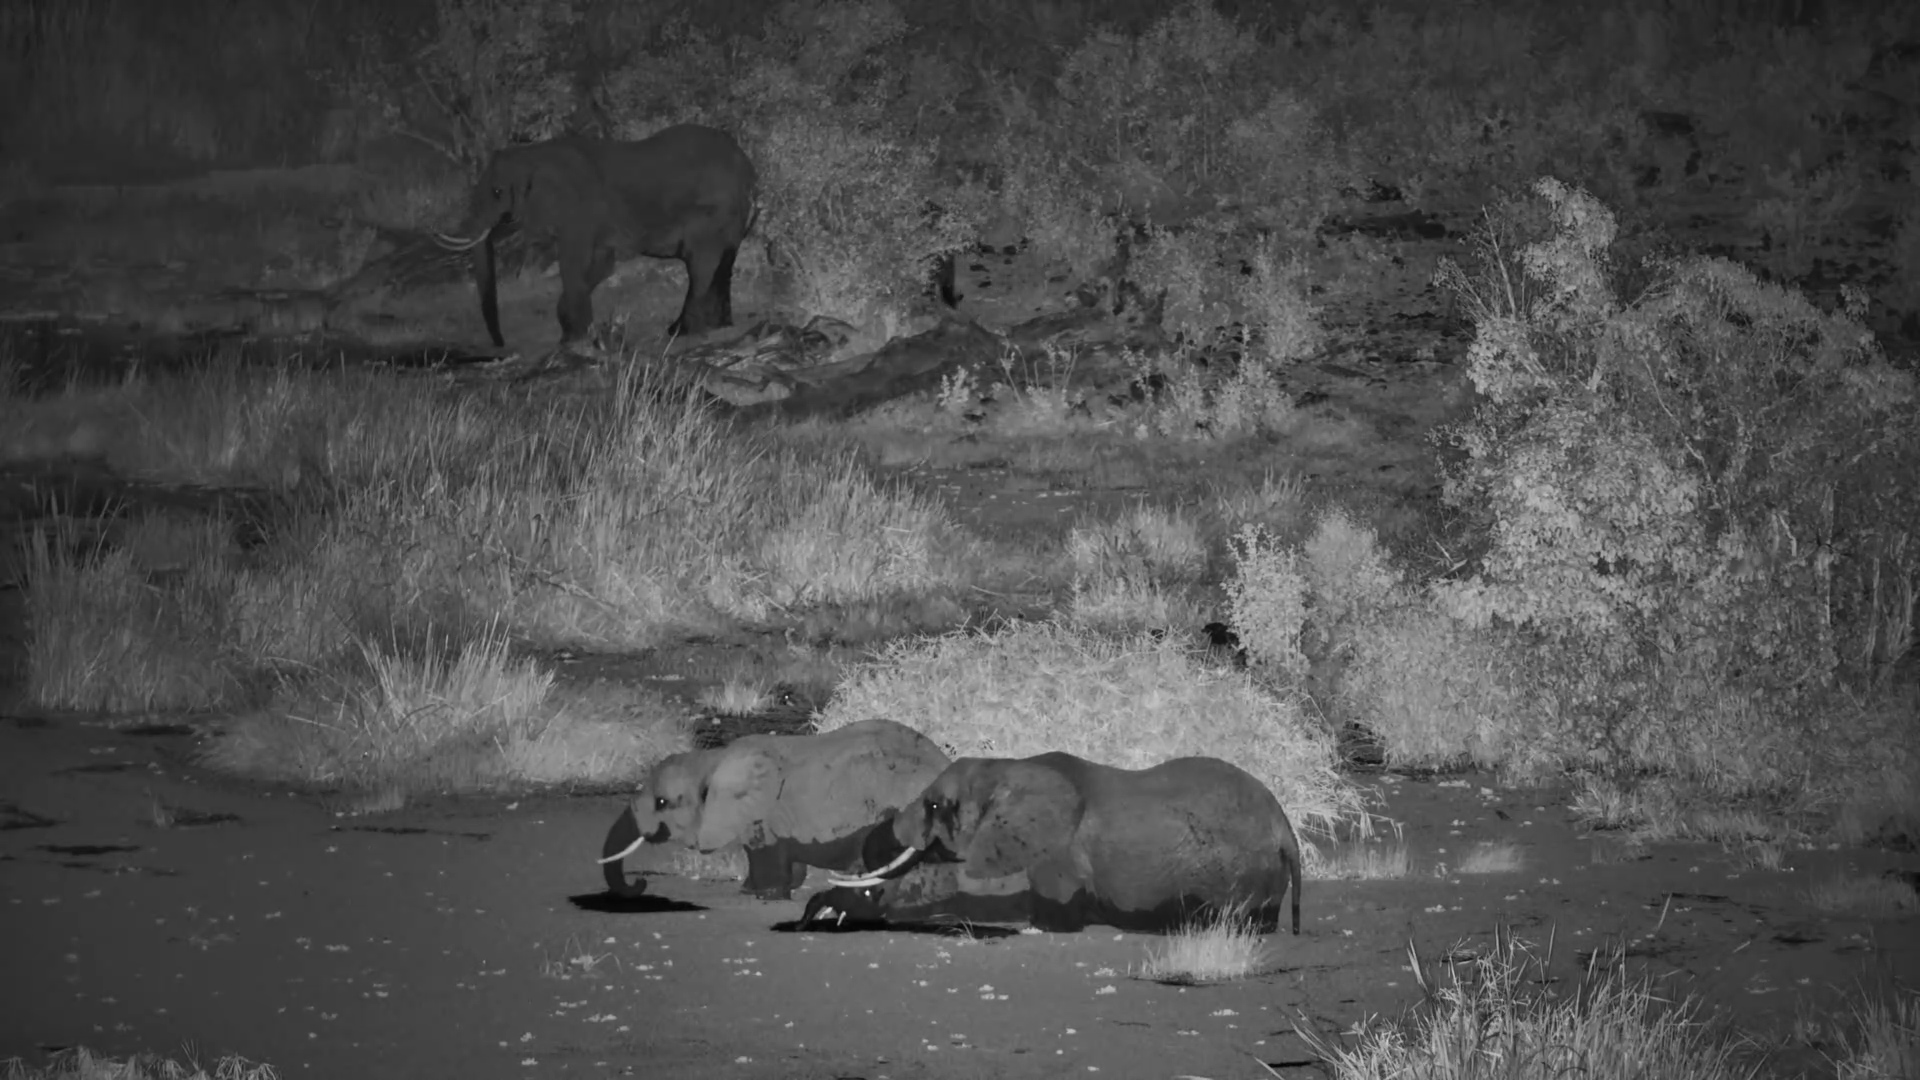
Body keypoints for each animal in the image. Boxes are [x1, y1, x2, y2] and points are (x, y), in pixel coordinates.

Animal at [434, 124, 757, 348]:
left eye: (498, 192)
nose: (501, 345)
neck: (534, 153)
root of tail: (746, 165)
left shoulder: (578, 211)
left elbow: (572, 262)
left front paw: (572, 339)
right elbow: (603, 264)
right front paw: (576, 335)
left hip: (710, 213)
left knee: (700, 264)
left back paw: (680, 331)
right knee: (724, 264)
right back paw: (718, 326)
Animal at [597, 718, 949, 901]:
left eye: (661, 803)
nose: (640, 884)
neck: (714, 759)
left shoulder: (763, 812)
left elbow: (763, 852)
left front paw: (765, 896)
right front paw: (751, 890)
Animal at [831, 752, 1302, 934]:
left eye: (934, 805)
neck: (1008, 767)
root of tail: (1285, 826)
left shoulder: (1057, 851)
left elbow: (1055, 915)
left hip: (1241, 869)